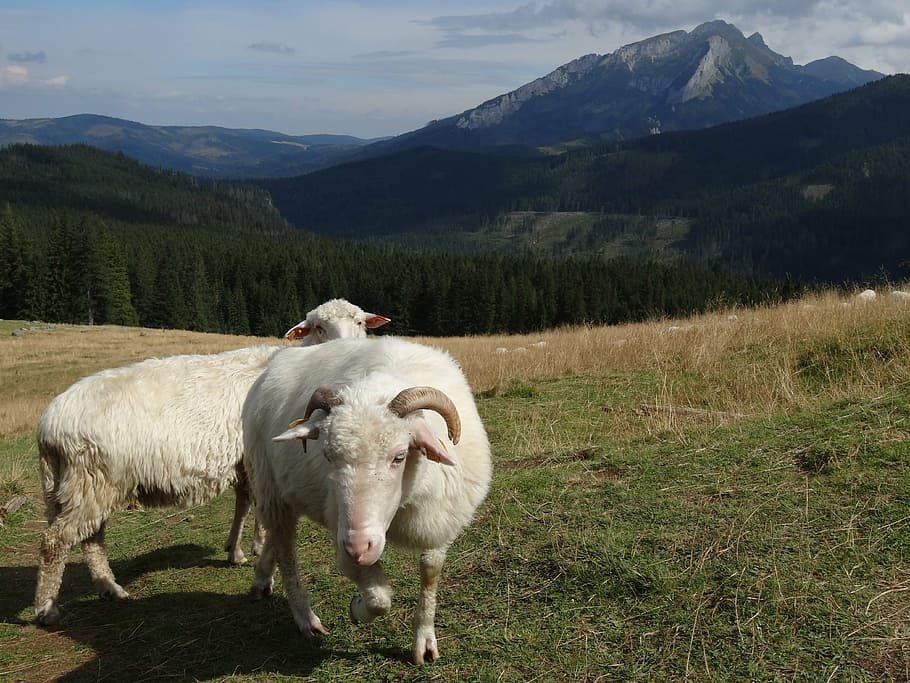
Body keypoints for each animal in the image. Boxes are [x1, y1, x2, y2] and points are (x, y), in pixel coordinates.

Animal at [33, 299, 390, 626]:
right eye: (318, 327)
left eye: (360, 322)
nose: (345, 349)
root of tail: (47, 425)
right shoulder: (258, 460)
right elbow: (258, 507)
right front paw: (257, 551)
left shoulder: (246, 463)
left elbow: (245, 504)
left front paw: (240, 549)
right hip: (91, 481)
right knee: (57, 541)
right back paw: (47, 608)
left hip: (77, 486)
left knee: (90, 540)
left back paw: (108, 587)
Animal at [241, 336, 492, 664]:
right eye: (327, 455)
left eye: (400, 456)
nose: (358, 547)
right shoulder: (342, 531)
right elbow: (380, 599)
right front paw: (358, 609)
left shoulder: (440, 520)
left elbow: (430, 572)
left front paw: (424, 641)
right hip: (268, 486)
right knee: (286, 552)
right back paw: (305, 618)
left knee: (275, 538)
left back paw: (262, 579)